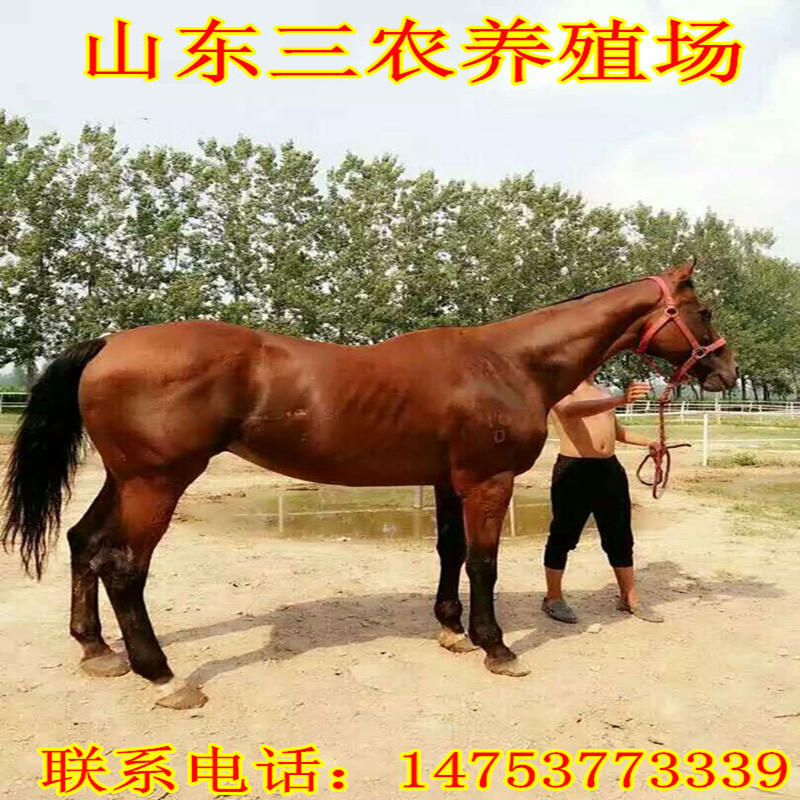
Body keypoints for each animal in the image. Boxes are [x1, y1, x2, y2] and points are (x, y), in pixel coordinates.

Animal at [2, 258, 737, 709]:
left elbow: (450, 554)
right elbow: (486, 562)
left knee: (84, 544)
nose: (726, 371)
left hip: (125, 478)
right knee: (124, 566)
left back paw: (97, 651)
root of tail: (108, 343)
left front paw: (451, 631)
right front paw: (496, 646)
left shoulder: (447, 481)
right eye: (700, 310)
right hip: (156, 482)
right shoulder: (488, 480)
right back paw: (163, 677)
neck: (506, 362)